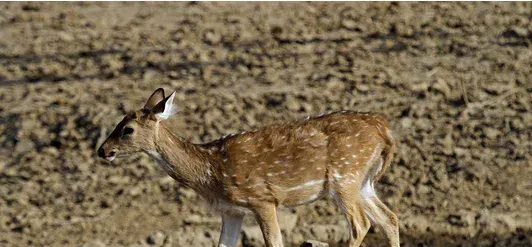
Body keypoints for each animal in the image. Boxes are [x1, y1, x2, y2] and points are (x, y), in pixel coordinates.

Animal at [96, 89, 400, 247]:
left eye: (127, 129)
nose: (102, 150)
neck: (211, 174)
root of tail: (384, 129)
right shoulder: (232, 210)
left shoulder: (262, 198)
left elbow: (274, 242)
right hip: (363, 182)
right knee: (389, 218)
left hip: (344, 175)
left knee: (361, 224)